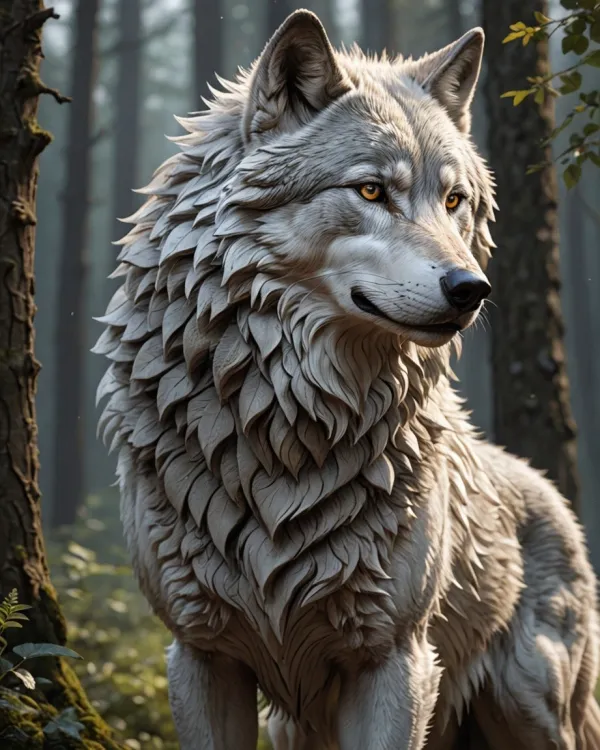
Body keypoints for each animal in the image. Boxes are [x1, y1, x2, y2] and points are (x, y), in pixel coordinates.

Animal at [95, 9, 600, 749]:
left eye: (454, 200)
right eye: (370, 190)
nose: (471, 289)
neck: (287, 430)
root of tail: (550, 493)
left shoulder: (394, 659)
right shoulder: (200, 654)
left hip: (531, 711)